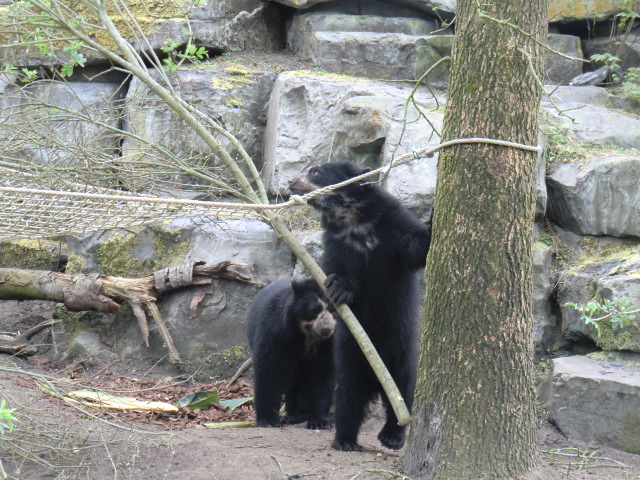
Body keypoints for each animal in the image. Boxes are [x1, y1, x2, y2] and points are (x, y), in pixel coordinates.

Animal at [247, 277, 336, 430]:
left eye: (333, 310)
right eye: (314, 310)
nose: (326, 329)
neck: (307, 336)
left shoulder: (327, 346)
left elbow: (323, 375)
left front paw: (320, 422)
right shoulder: (276, 335)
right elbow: (269, 372)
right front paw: (268, 420)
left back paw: (300, 414)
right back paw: (294, 415)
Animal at [288, 161, 431, 452]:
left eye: (315, 171)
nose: (289, 182)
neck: (352, 218)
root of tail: (375, 381)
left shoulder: (392, 224)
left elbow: (415, 246)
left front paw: (433, 225)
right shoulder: (337, 242)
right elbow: (337, 270)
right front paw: (338, 289)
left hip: (401, 350)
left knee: (403, 390)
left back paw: (392, 436)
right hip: (349, 357)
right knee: (348, 398)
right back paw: (344, 440)